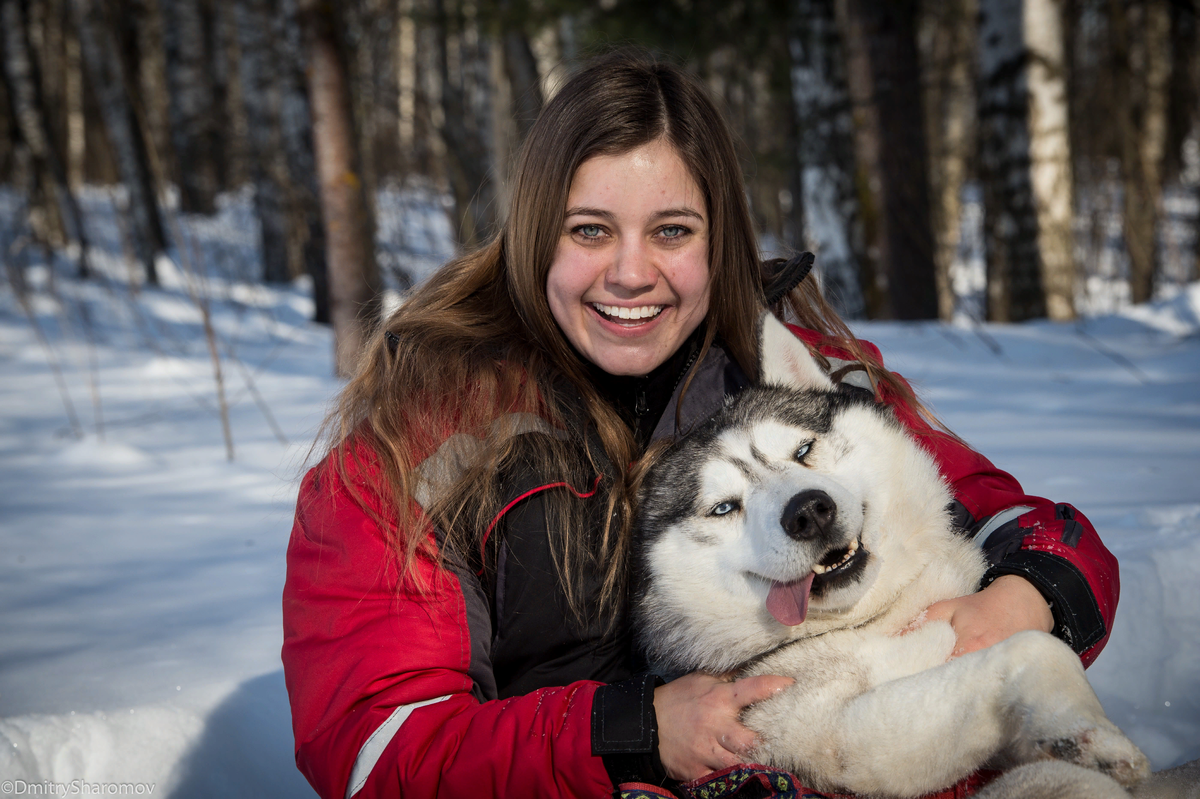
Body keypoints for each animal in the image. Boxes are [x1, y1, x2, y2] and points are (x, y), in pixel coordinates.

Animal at [638, 311, 1180, 796]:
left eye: (803, 450)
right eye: (724, 507)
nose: (809, 512)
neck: (879, 614)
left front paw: (1084, 734)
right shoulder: (839, 736)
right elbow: (1031, 647)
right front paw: (1093, 735)